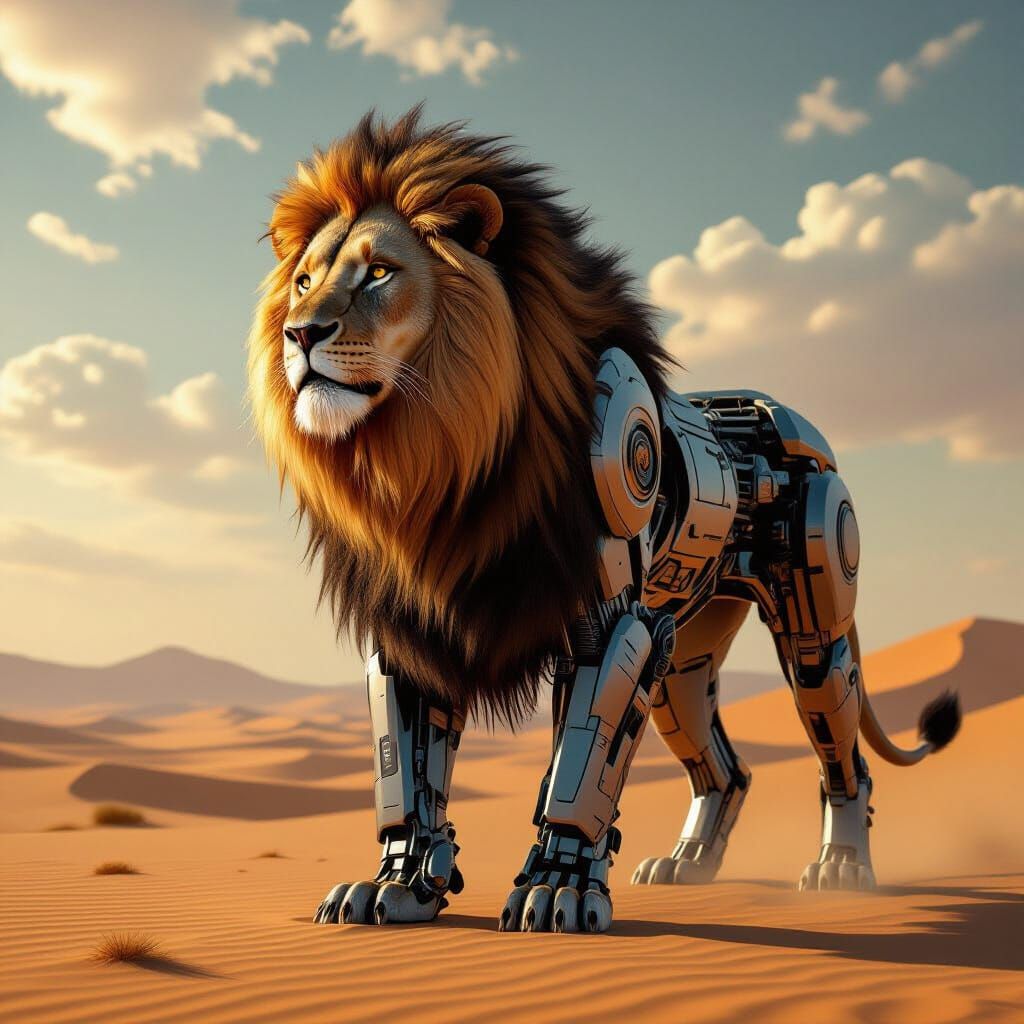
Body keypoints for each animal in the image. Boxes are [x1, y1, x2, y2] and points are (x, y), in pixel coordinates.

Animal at [248, 108, 959, 933]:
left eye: (380, 273)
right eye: (304, 281)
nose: (300, 333)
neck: (434, 464)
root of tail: (783, 416)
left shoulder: (610, 619)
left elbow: (581, 769)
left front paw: (559, 889)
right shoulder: (413, 633)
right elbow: (407, 777)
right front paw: (397, 883)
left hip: (808, 613)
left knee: (842, 754)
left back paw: (843, 868)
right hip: (684, 657)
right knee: (725, 769)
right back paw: (686, 864)